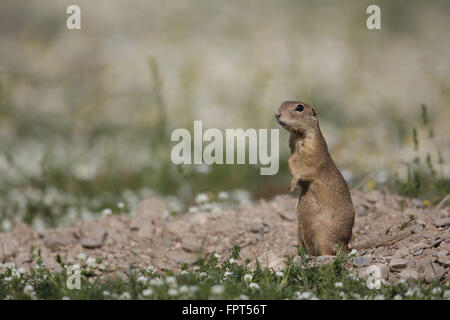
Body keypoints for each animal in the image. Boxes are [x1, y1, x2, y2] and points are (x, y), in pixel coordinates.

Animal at [274, 100, 356, 255]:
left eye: (299, 107)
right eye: (282, 103)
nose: (277, 114)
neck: (298, 136)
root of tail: (346, 244)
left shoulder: (314, 151)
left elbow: (308, 169)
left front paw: (294, 183)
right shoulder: (292, 151)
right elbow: (291, 163)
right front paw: (292, 184)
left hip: (323, 236)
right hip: (298, 231)